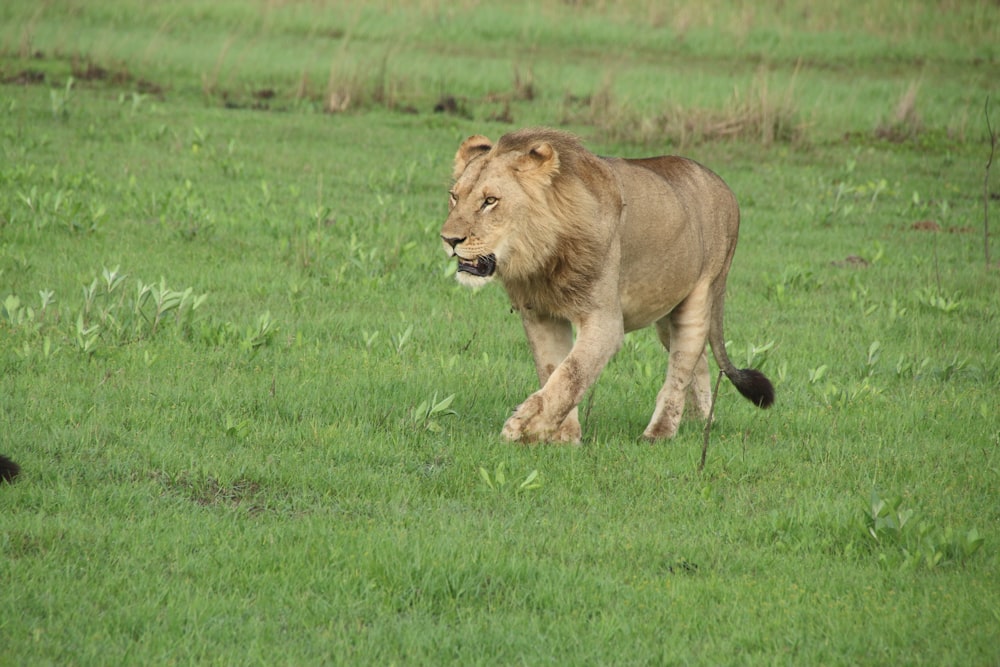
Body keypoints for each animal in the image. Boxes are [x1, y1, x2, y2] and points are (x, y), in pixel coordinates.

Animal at [438, 129, 772, 444]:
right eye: (455, 196)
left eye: (490, 201)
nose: (449, 240)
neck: (543, 257)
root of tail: (723, 186)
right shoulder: (540, 314)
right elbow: (553, 369)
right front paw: (562, 436)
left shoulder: (606, 320)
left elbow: (572, 372)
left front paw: (524, 427)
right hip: (667, 313)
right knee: (697, 361)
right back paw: (701, 421)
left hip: (702, 294)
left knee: (681, 367)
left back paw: (660, 433)